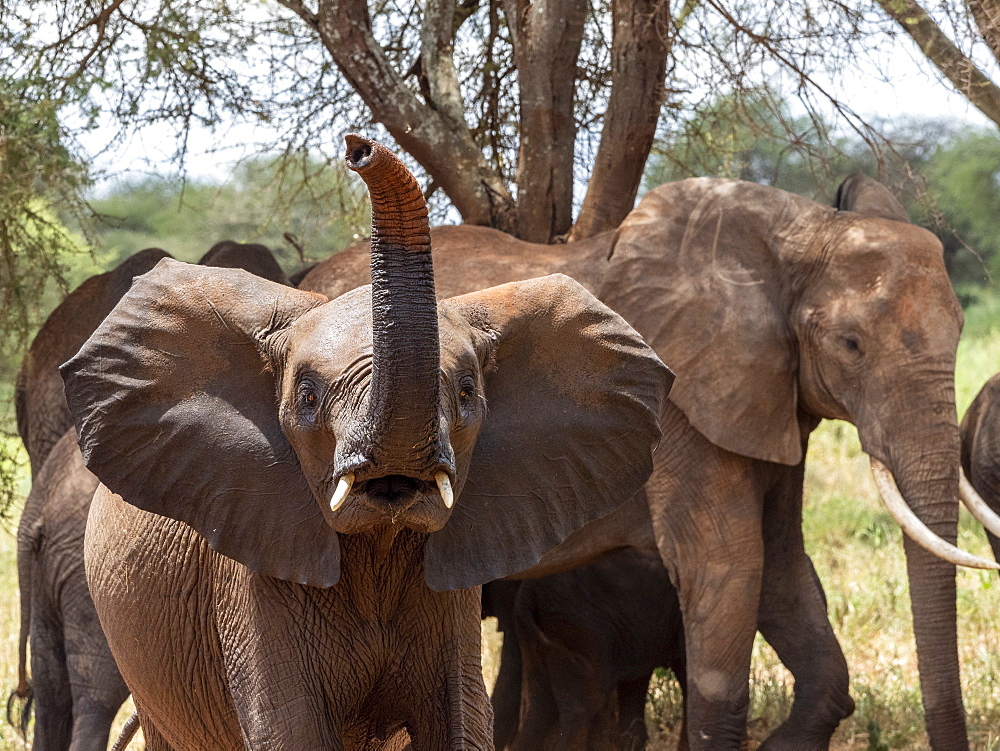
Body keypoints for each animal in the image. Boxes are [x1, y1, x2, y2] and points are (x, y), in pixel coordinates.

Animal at [64, 138, 672, 748]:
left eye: (467, 391)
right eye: (307, 396)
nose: (359, 148)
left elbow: (461, 721)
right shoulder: (246, 570)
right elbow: (294, 730)